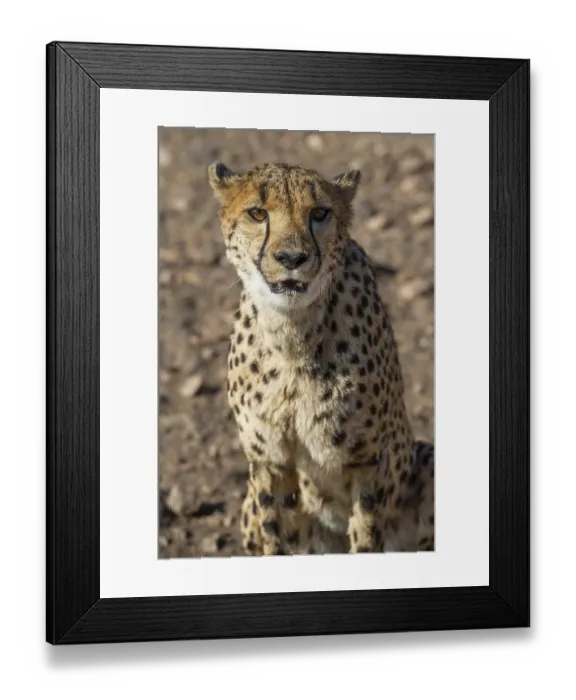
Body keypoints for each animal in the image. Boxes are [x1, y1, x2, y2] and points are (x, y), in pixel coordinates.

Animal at [208, 160, 433, 556]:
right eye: (257, 213)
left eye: (319, 213)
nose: (291, 258)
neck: (292, 339)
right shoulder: (268, 461)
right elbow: (275, 534)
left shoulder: (369, 461)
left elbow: (365, 535)